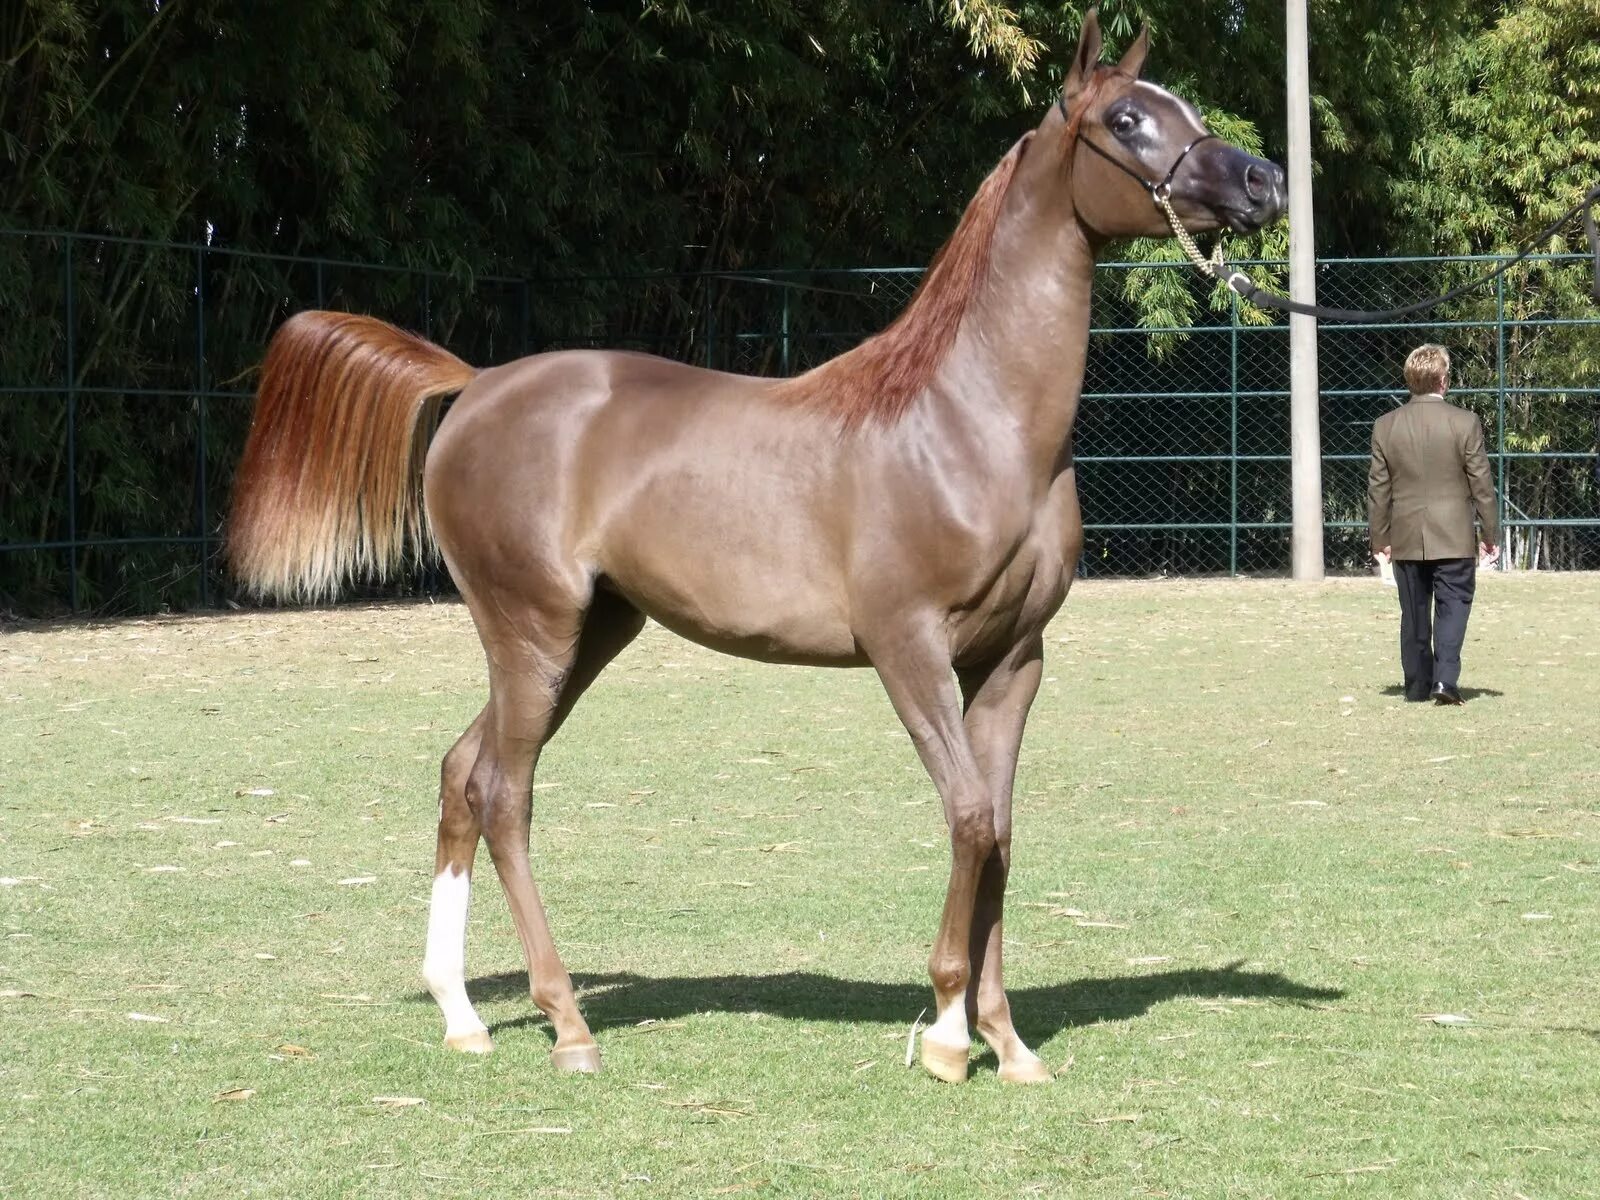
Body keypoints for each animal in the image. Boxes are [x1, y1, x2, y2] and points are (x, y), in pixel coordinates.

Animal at [228, 9, 1286, 1088]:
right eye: (1128, 120)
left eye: (1183, 109)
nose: (1265, 183)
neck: (965, 419)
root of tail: (477, 383)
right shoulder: (909, 651)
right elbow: (966, 818)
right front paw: (949, 1035)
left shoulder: (1010, 661)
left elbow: (997, 832)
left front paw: (1002, 1037)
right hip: (531, 629)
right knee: (502, 794)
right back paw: (566, 1024)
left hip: (590, 633)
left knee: (458, 772)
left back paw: (461, 1013)